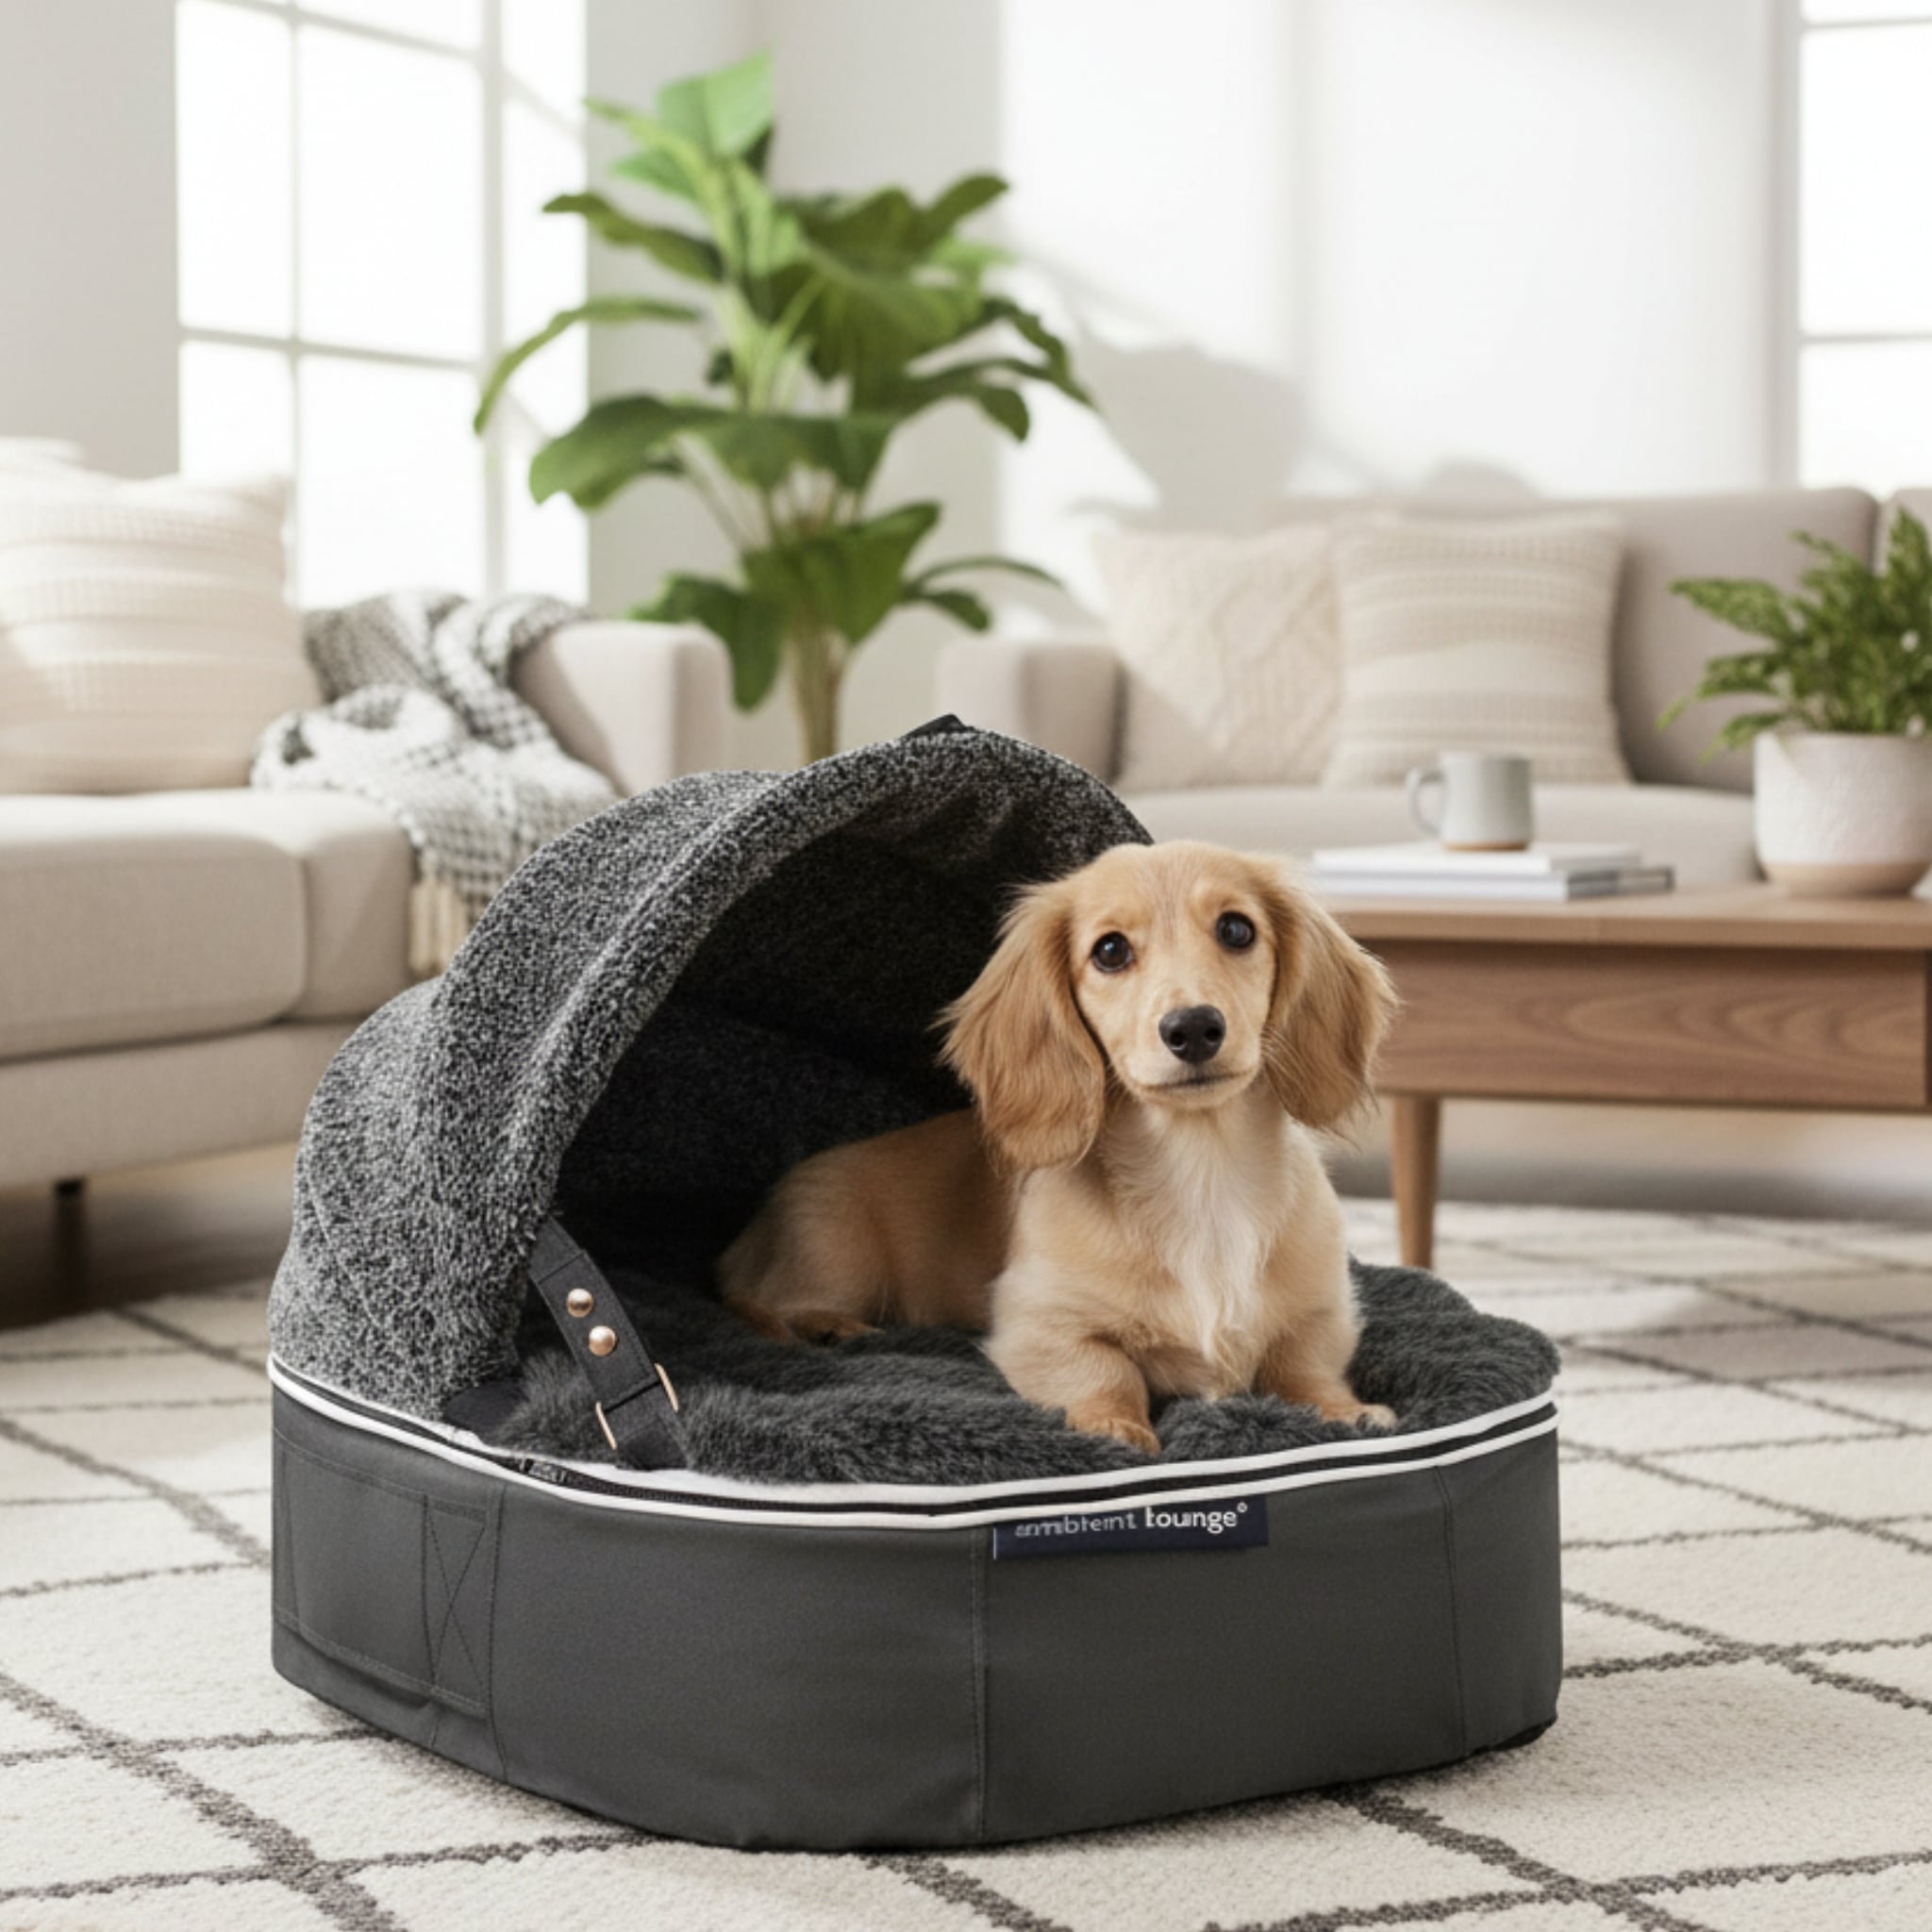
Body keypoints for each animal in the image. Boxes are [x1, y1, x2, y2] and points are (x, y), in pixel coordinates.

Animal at [717, 841, 1400, 1453]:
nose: (1194, 1028)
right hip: (836, 1246)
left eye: (1236, 929)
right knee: (779, 1302)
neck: (1200, 1168)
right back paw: (828, 1328)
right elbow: (1105, 1370)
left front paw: (1348, 1412)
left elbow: (1304, 1369)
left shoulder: (1323, 1311)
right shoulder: (1035, 1322)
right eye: (1110, 950)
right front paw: (1115, 1427)